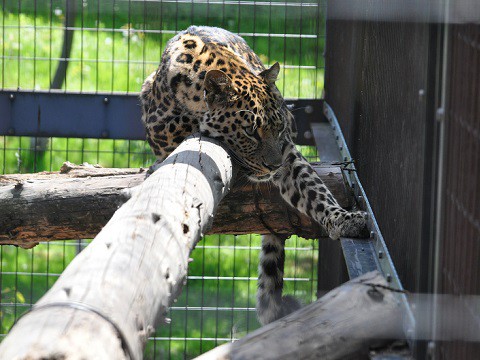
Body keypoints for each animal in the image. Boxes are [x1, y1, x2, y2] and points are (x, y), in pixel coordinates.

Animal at [140, 26, 368, 326]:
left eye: (279, 128)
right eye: (250, 131)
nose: (273, 166)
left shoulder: (288, 148)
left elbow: (313, 188)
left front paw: (343, 219)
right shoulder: (158, 123)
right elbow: (186, 125)